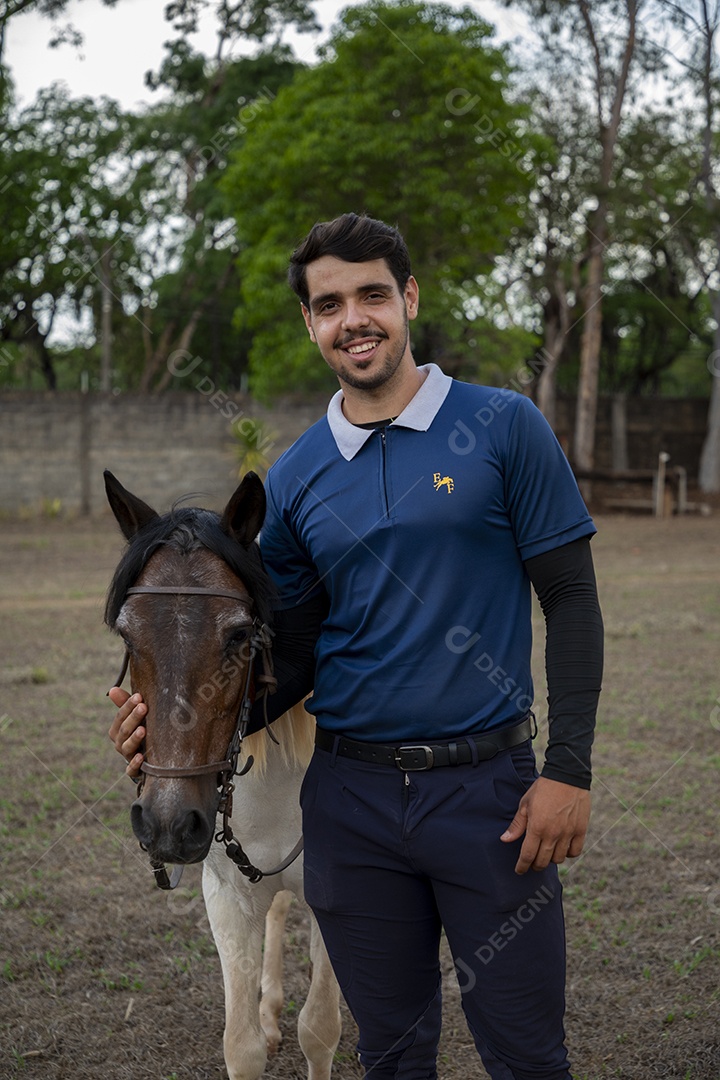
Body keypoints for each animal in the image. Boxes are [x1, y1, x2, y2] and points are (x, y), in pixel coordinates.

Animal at [102, 470, 345, 1080]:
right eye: (128, 637)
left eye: (238, 636)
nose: (167, 825)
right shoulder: (227, 893)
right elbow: (242, 1047)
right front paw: (259, 1024)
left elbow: (319, 1029)